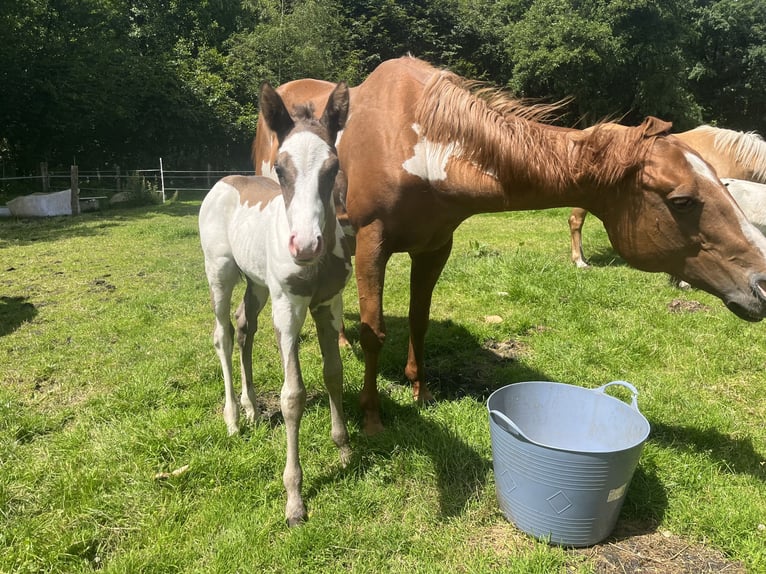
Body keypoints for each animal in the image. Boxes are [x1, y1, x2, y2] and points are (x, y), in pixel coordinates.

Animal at [200, 83, 352, 528]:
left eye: (332, 167)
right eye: (281, 170)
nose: (304, 245)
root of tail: (224, 181)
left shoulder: (328, 304)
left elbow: (334, 373)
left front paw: (344, 449)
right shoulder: (288, 309)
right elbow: (292, 396)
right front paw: (295, 501)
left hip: (257, 284)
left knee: (244, 327)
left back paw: (252, 409)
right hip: (220, 273)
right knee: (223, 333)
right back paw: (234, 418)